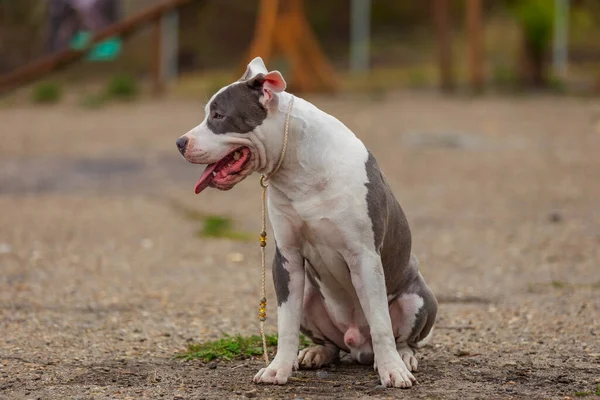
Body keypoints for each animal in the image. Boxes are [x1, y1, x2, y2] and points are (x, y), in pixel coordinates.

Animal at [176, 57, 438, 388]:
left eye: (219, 115)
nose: (180, 142)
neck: (298, 167)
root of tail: (359, 346)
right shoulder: (287, 258)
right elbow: (285, 325)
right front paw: (278, 368)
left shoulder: (364, 256)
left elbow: (381, 322)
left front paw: (392, 370)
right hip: (311, 297)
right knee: (331, 344)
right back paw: (316, 353)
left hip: (418, 298)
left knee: (403, 337)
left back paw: (402, 356)